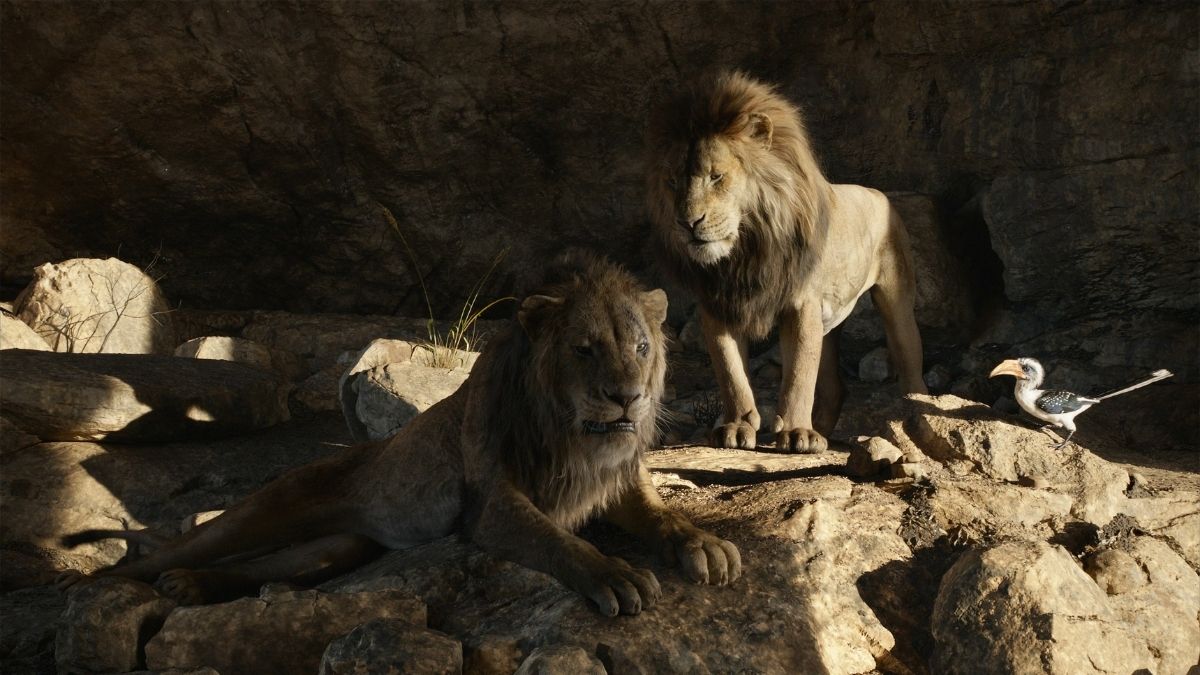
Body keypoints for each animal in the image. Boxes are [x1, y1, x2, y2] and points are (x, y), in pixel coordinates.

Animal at [58, 252, 741, 616]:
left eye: (641, 348)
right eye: (585, 349)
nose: (627, 396)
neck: (574, 433)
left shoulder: (615, 479)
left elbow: (664, 515)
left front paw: (706, 544)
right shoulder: (491, 503)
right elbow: (556, 542)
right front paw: (613, 575)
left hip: (335, 547)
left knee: (264, 569)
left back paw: (192, 588)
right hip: (264, 508)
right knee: (180, 549)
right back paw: (94, 584)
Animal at [645, 70, 927, 453]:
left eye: (717, 176)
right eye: (673, 181)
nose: (687, 223)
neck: (746, 251)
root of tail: (878, 192)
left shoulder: (802, 304)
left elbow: (798, 376)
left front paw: (796, 434)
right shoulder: (717, 304)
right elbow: (730, 371)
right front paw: (736, 427)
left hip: (896, 302)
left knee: (910, 366)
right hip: (829, 322)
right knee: (834, 386)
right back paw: (822, 429)